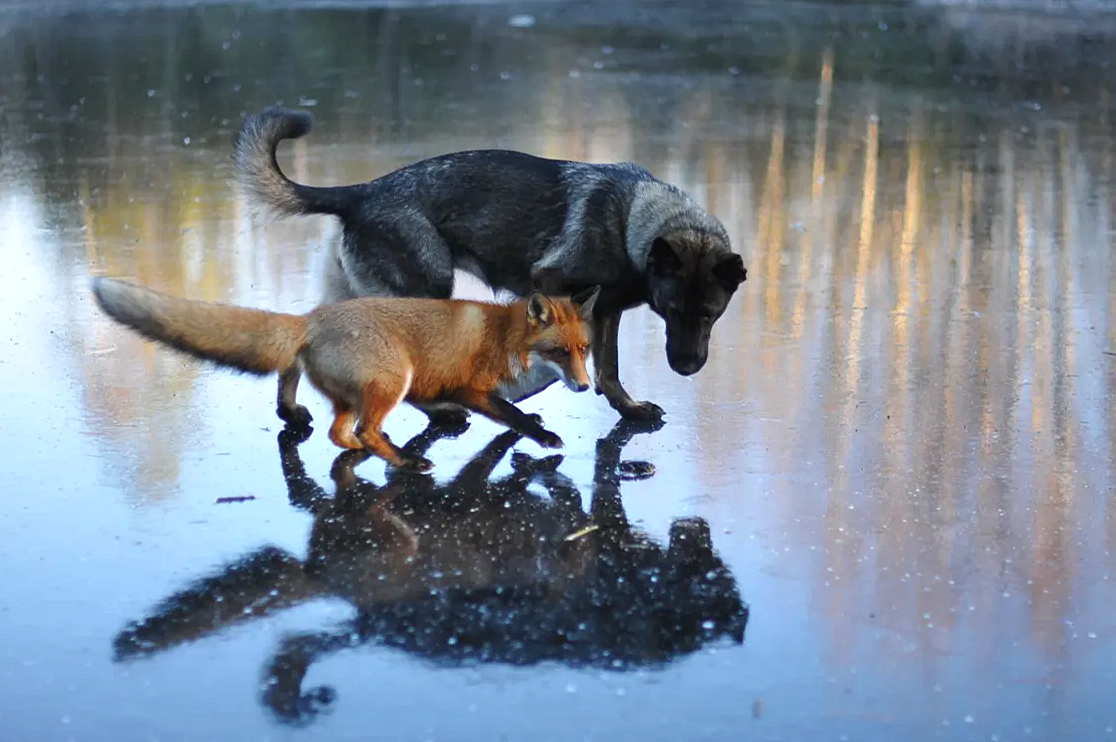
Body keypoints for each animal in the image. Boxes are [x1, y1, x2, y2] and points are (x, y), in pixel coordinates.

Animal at [93, 277, 602, 468]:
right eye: (559, 351)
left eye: (584, 350)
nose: (585, 386)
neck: (506, 340)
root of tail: (312, 318)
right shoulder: (469, 386)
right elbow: (507, 415)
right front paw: (543, 436)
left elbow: (508, 415)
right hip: (394, 377)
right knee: (364, 429)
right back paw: (405, 460)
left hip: (356, 393)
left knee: (341, 432)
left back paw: (364, 449)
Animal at [231, 107, 745, 419]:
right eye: (672, 310)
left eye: (709, 314)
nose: (687, 368)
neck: (633, 221)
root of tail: (361, 193)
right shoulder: (555, 287)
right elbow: (573, 362)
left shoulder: (607, 310)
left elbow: (609, 369)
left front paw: (627, 408)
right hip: (425, 290)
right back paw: (441, 411)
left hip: (354, 293)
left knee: (301, 340)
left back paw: (289, 411)